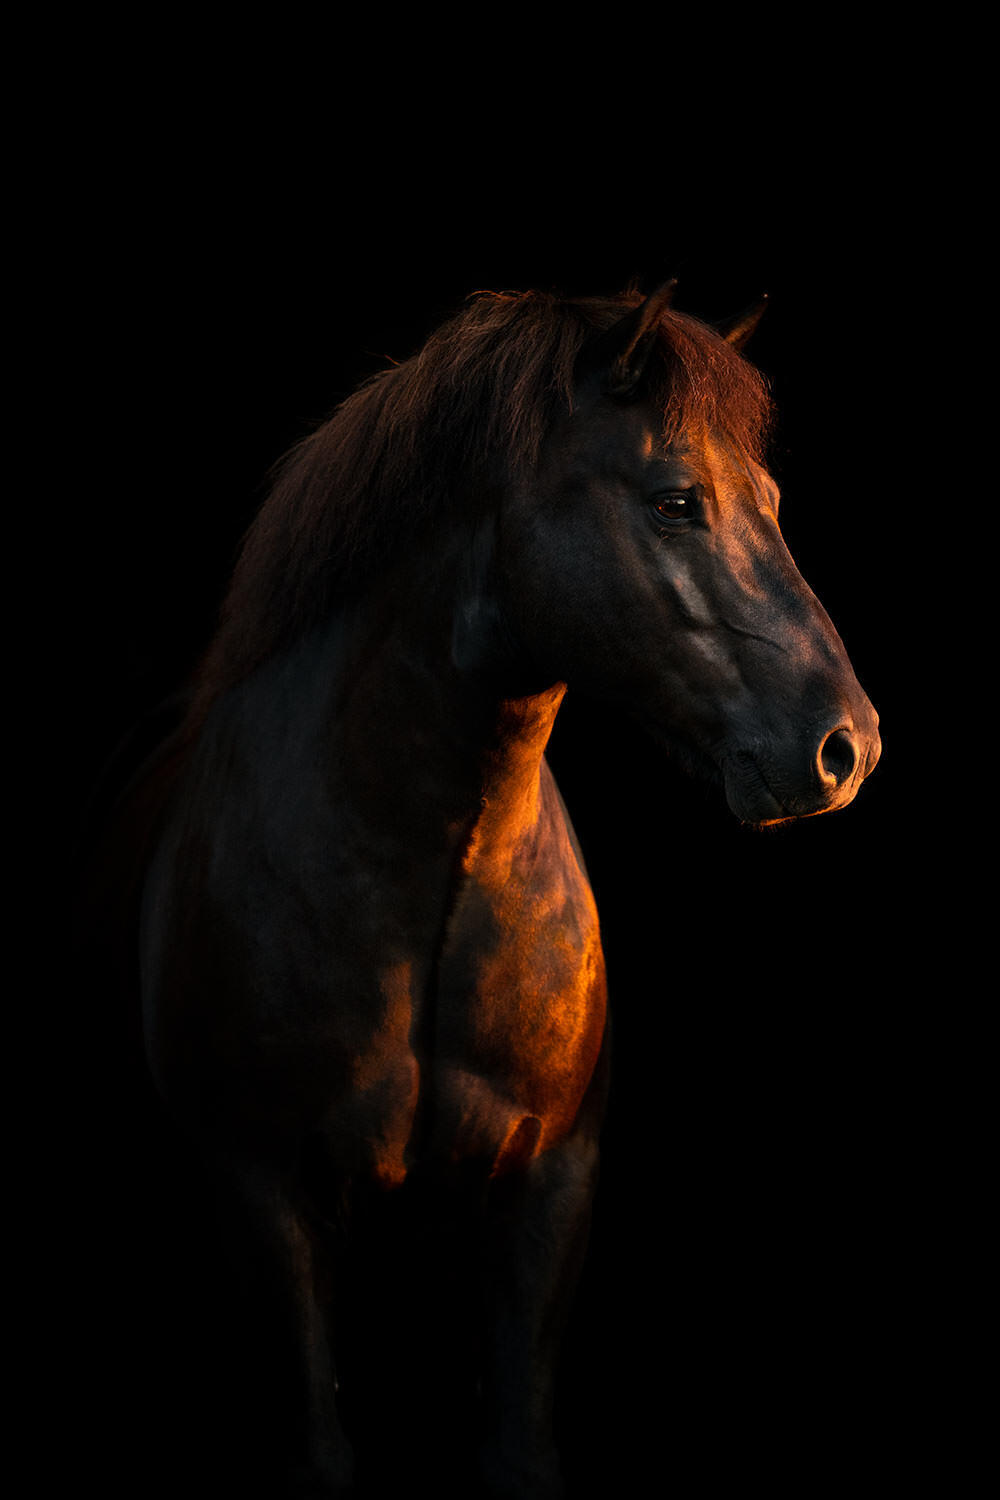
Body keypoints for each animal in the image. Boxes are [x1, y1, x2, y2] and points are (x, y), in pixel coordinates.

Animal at [135, 280, 880, 1498]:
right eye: (678, 501)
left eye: (769, 501)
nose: (846, 748)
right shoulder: (263, 1194)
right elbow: (321, 1444)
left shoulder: (548, 1189)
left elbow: (519, 1446)